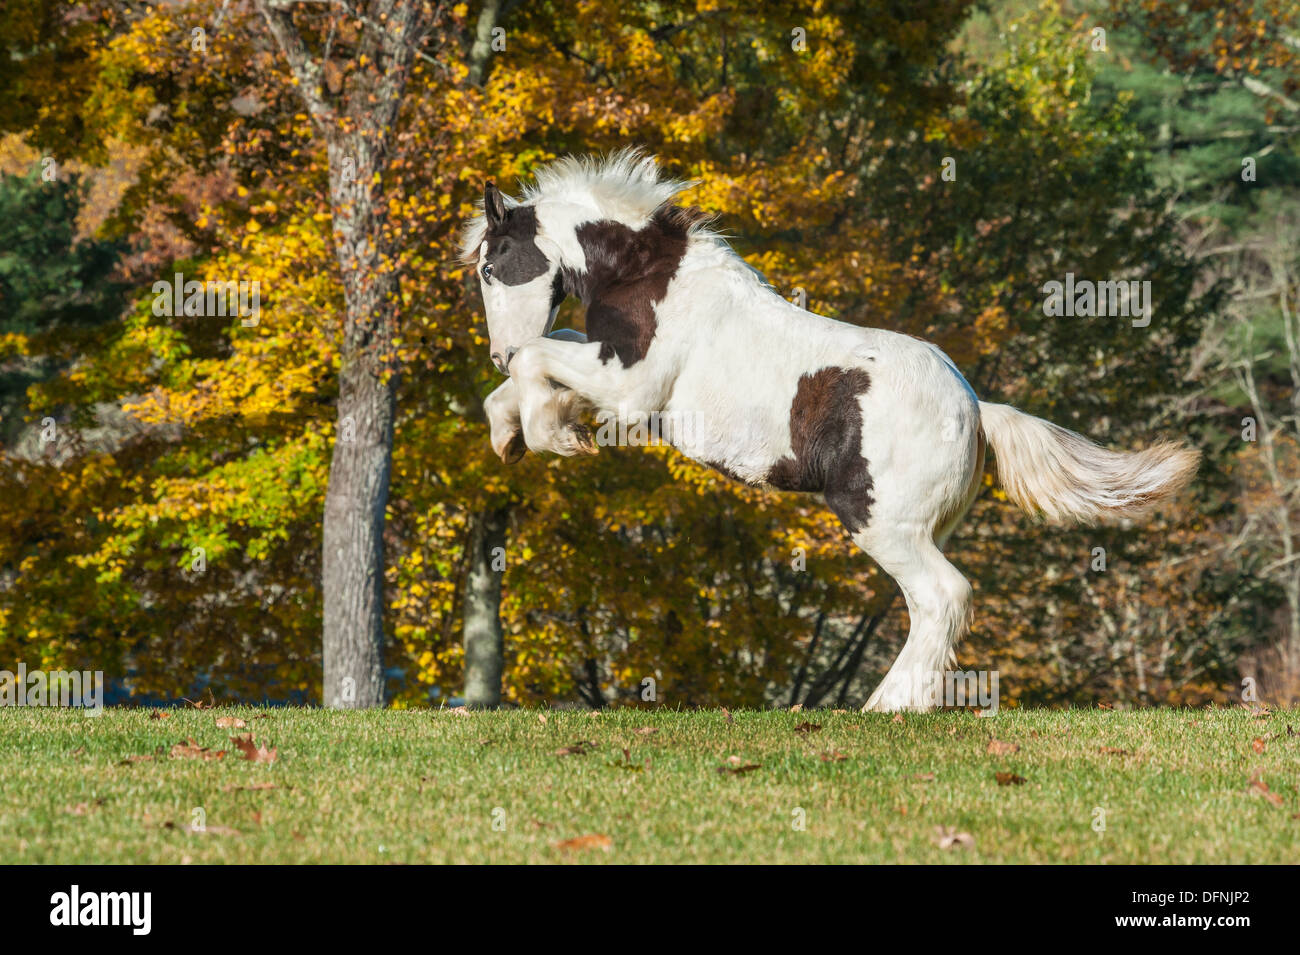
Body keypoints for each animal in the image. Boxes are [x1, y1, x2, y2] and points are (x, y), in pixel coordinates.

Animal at [462, 149, 1201, 712]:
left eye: (491, 268)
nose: (495, 350)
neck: (652, 278)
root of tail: (975, 410)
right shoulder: (604, 367)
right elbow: (540, 360)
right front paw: (510, 434)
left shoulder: (631, 390)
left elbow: (541, 357)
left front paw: (551, 435)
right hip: (916, 528)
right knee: (931, 605)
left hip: (880, 522)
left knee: (943, 597)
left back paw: (887, 708)